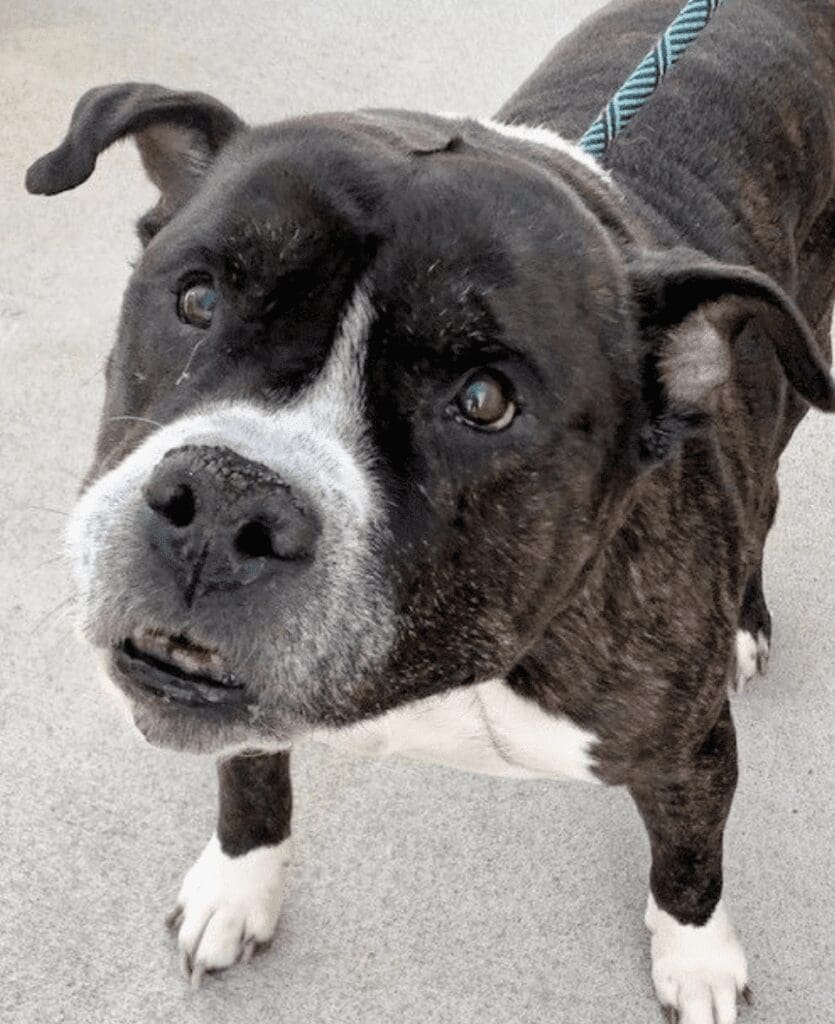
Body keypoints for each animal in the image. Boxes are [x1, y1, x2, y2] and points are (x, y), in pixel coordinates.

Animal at [22, 0, 831, 1019]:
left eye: (484, 400)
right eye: (197, 298)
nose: (222, 504)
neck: (444, 674)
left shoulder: (689, 754)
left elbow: (688, 865)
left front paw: (696, 961)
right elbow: (247, 777)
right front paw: (238, 886)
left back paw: (745, 626)